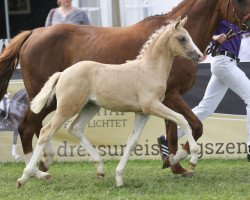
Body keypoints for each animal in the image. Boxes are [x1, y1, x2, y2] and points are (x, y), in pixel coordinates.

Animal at [17, 16, 201, 188]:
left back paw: (100, 168)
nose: (198, 55)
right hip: (67, 107)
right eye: (182, 38)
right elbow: (182, 119)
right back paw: (26, 176)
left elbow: (132, 142)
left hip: (90, 107)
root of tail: (62, 73)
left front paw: (119, 177)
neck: (149, 69)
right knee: (45, 131)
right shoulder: (152, 106)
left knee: (75, 128)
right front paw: (193, 158)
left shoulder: (142, 113)